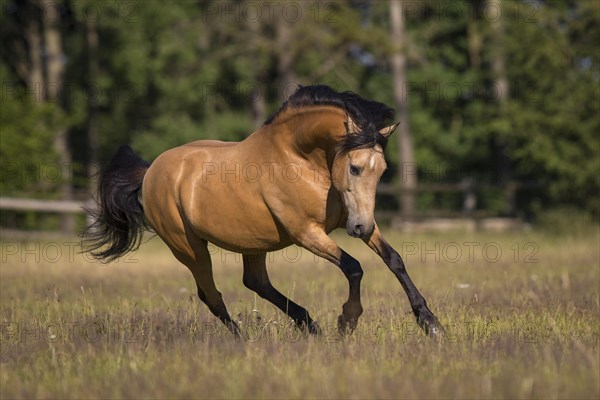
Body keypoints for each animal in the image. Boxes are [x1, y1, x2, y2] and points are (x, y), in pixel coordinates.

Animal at [82, 84, 442, 338]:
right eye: (354, 168)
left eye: (382, 171)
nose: (361, 229)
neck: (302, 159)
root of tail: (150, 172)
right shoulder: (307, 233)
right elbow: (353, 267)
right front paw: (347, 321)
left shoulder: (349, 219)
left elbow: (394, 259)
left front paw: (431, 323)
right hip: (189, 248)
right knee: (210, 294)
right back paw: (245, 339)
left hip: (251, 242)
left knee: (255, 282)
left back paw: (308, 325)